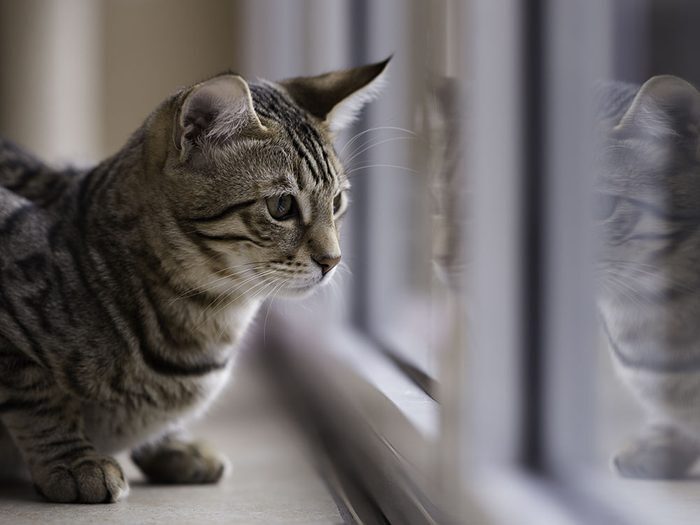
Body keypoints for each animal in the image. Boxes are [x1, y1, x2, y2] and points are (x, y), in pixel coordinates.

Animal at [0, 59, 388, 502]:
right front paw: (73, 461)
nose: (333, 259)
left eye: (337, 202)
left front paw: (172, 443)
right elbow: (38, 399)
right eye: (282, 206)